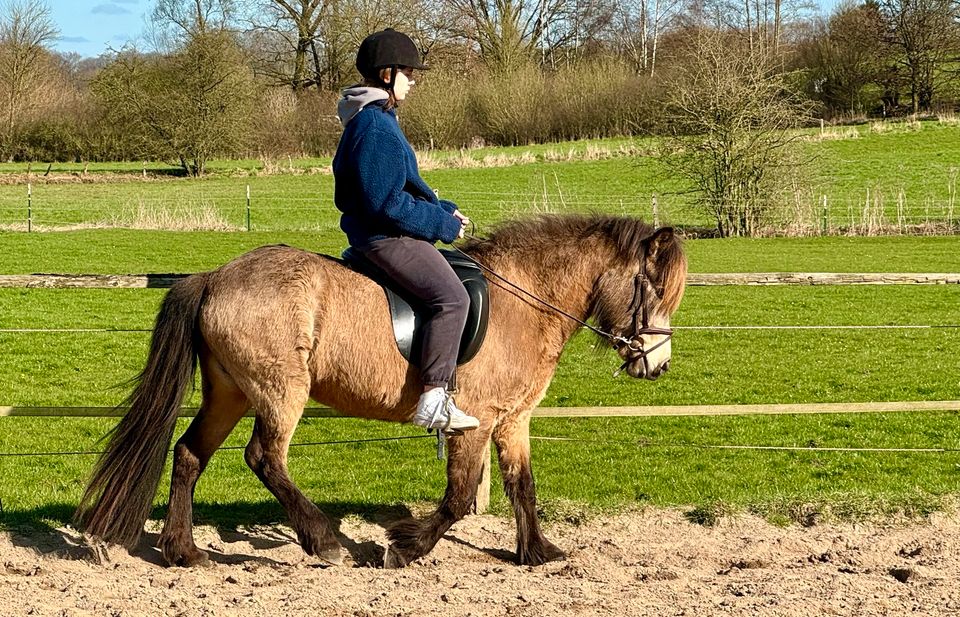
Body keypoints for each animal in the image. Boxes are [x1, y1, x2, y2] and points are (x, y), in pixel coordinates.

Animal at [79, 213, 688, 568]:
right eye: (655, 289)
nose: (657, 365)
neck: (526, 299)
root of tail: (214, 278)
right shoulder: (478, 419)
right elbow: (459, 496)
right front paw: (405, 548)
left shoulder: (513, 420)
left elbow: (522, 486)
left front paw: (538, 552)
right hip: (279, 391)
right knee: (264, 457)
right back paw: (324, 541)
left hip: (230, 393)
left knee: (188, 454)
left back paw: (183, 552)